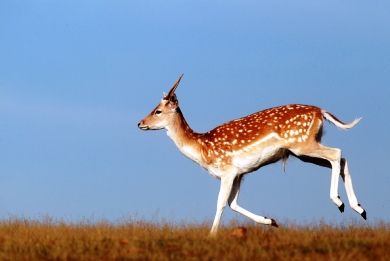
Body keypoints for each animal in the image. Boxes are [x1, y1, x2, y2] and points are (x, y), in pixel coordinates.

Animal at [139, 74, 368, 235]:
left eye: (158, 111)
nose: (140, 123)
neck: (204, 149)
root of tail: (321, 112)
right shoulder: (240, 173)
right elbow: (233, 203)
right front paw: (271, 221)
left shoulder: (228, 170)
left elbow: (221, 203)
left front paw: (211, 235)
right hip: (302, 150)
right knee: (341, 159)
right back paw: (359, 208)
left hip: (302, 144)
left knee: (336, 153)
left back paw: (339, 202)